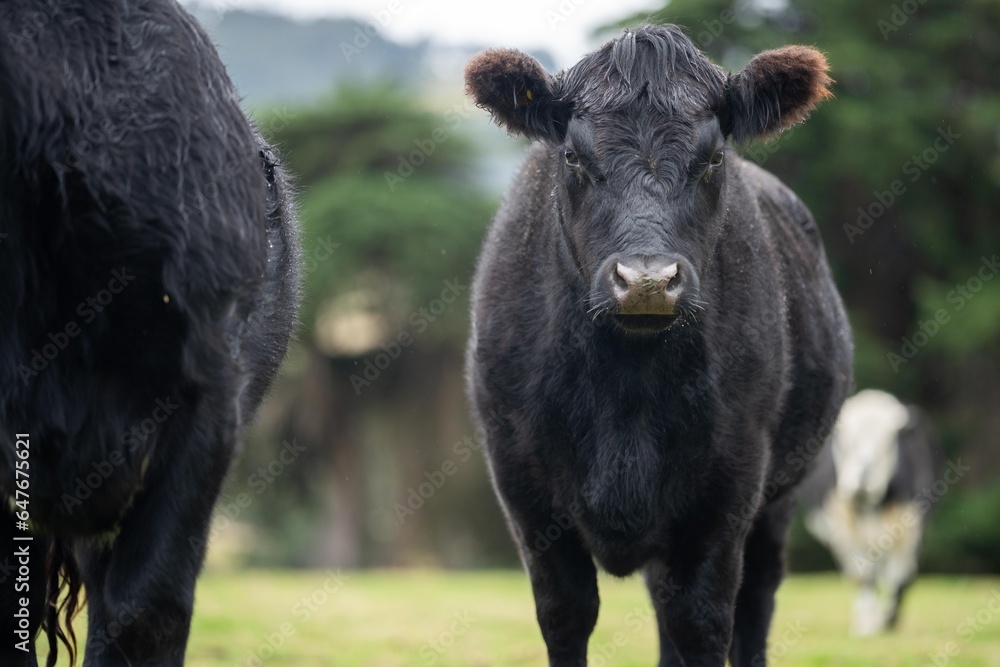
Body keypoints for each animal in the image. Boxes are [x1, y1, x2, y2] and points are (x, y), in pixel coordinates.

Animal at [464, 25, 853, 666]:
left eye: (714, 156)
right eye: (573, 155)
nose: (647, 280)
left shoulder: (731, 482)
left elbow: (702, 621)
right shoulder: (521, 482)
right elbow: (566, 613)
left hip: (779, 501)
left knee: (755, 601)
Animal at [800, 389, 938, 636]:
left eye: (887, 442)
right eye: (845, 442)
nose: (863, 476)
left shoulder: (910, 529)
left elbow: (899, 576)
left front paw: (889, 620)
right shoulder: (842, 531)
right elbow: (862, 576)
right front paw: (867, 627)